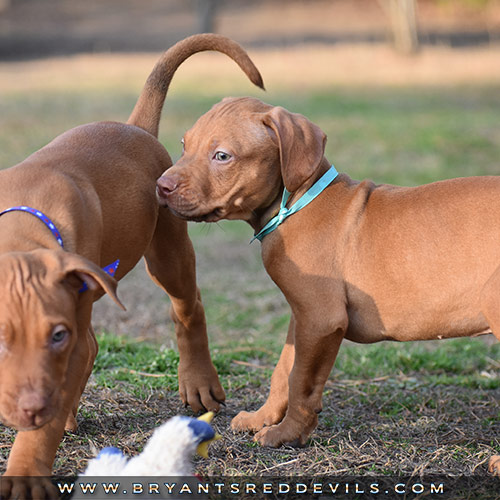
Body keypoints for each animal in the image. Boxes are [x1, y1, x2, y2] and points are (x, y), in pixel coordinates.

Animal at [0, 35, 264, 496]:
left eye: (55, 336)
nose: (34, 408)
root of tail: (136, 126)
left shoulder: (69, 340)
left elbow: (43, 423)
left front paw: (25, 472)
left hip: (168, 254)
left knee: (188, 307)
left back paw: (197, 381)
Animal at [158, 96, 500, 468]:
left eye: (222, 156)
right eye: (184, 145)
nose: (161, 186)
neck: (295, 204)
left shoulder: (321, 320)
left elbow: (302, 382)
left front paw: (287, 434)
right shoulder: (303, 316)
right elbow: (284, 370)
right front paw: (262, 418)